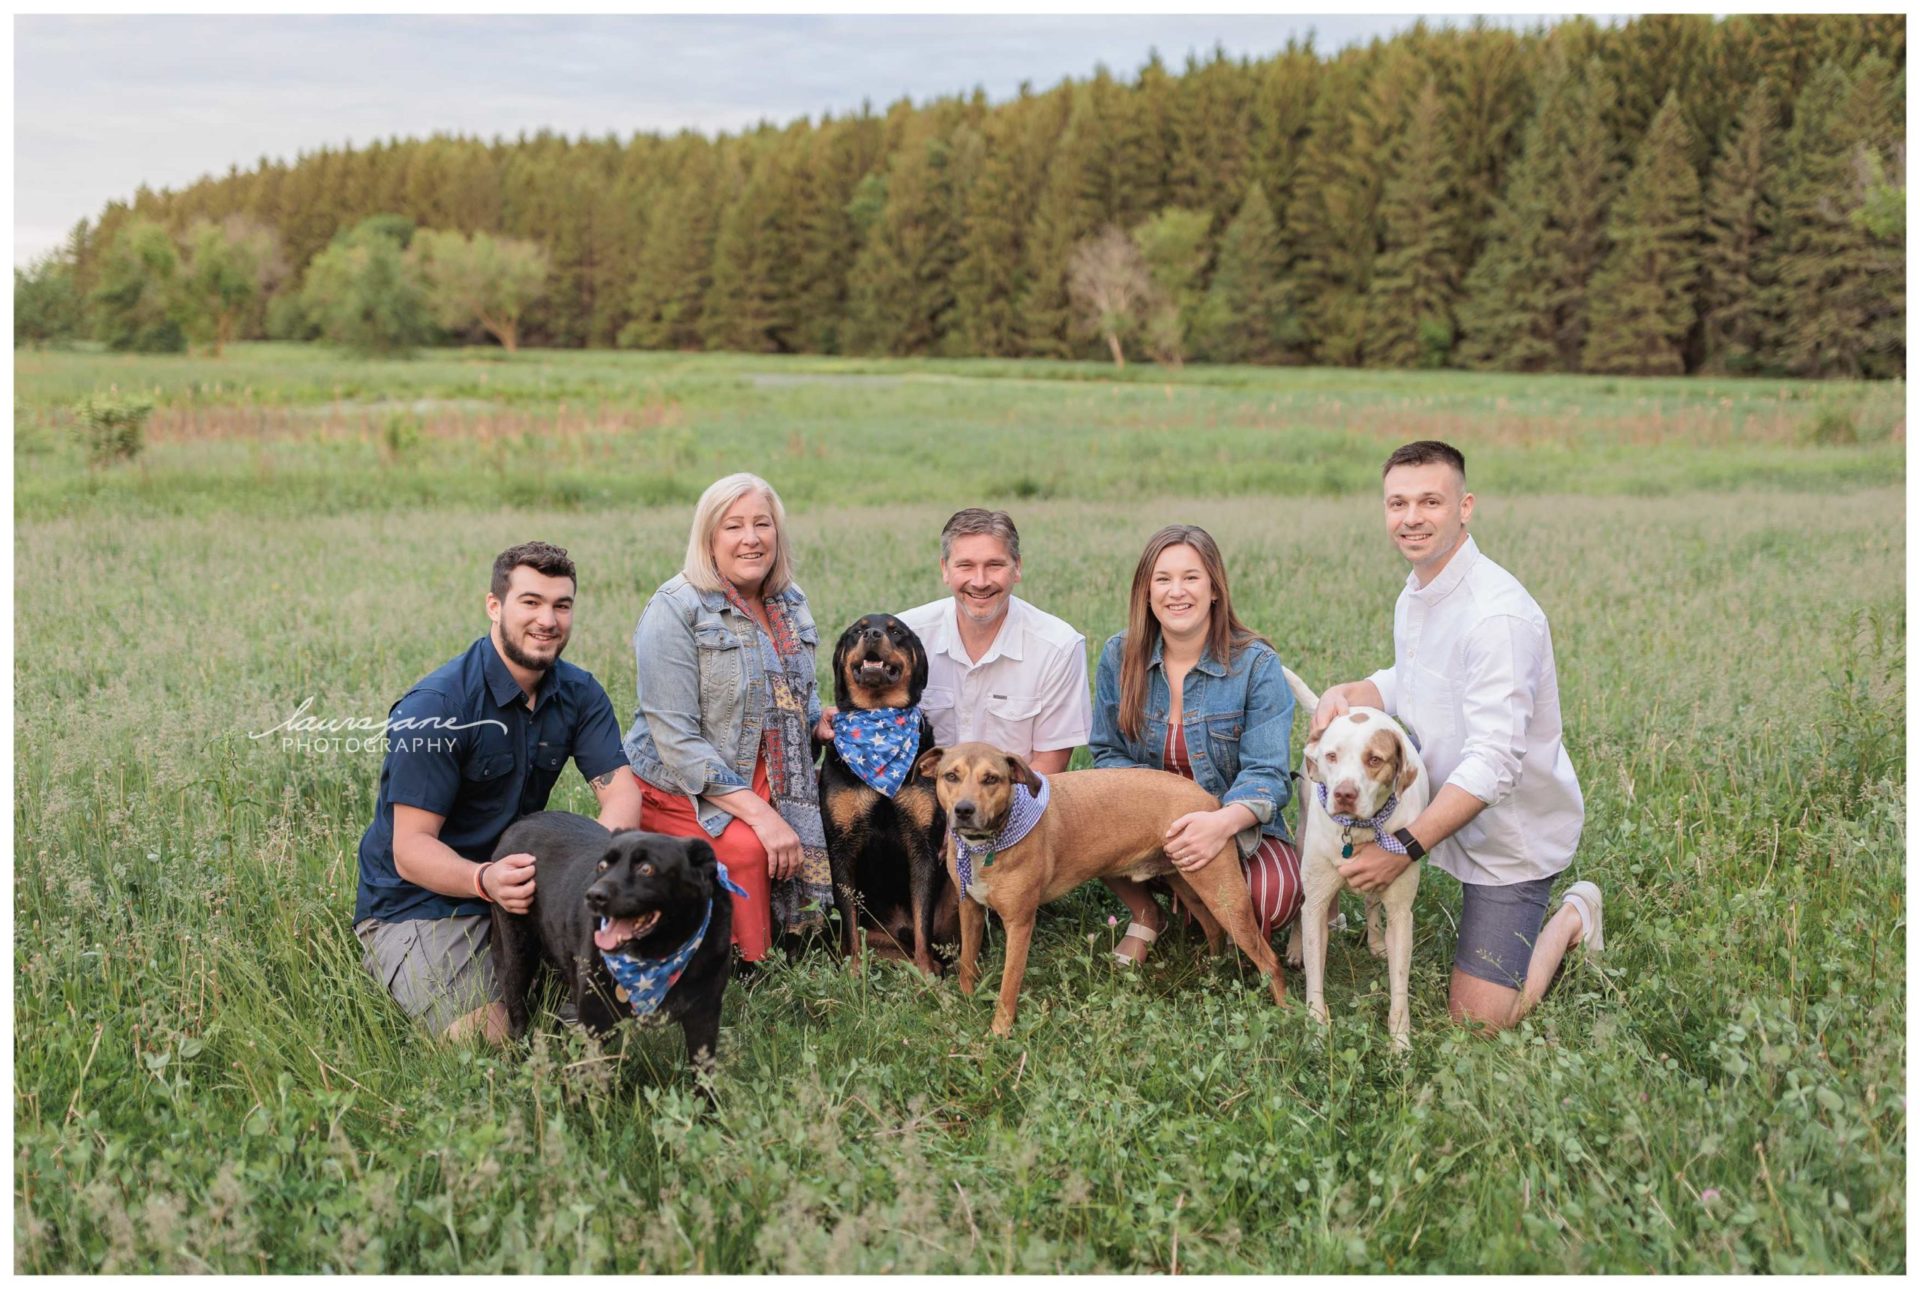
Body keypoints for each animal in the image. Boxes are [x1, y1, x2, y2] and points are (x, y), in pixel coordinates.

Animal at [491, 810, 729, 1075]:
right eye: (602, 866)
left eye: (646, 868)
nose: (593, 896)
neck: (658, 954)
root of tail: (521, 821)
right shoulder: (594, 1020)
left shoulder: (704, 1017)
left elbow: (705, 1077)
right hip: (517, 955)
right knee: (517, 1012)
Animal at [817, 614, 952, 979]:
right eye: (857, 631)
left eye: (896, 632)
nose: (873, 634)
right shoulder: (840, 845)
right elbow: (849, 921)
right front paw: (853, 972)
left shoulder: (923, 844)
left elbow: (922, 920)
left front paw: (927, 974)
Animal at [917, 745, 1290, 1037]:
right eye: (951, 776)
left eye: (991, 779)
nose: (964, 810)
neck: (989, 842)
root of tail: (1210, 800)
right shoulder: (970, 909)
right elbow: (967, 964)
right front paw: (966, 1002)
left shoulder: (1019, 924)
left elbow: (1009, 987)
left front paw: (999, 1032)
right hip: (1192, 884)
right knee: (1213, 929)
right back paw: (1210, 975)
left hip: (1226, 897)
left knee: (1269, 960)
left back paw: (1288, 1014)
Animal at [1282, 672, 1436, 1052]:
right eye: (1332, 756)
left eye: (1375, 760)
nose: (1344, 794)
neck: (1359, 831)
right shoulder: (1316, 900)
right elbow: (1314, 977)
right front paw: (1316, 1032)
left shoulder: (1401, 912)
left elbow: (1399, 988)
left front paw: (1400, 1044)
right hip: (1302, 842)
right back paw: (1295, 947)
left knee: (1371, 902)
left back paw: (1376, 941)